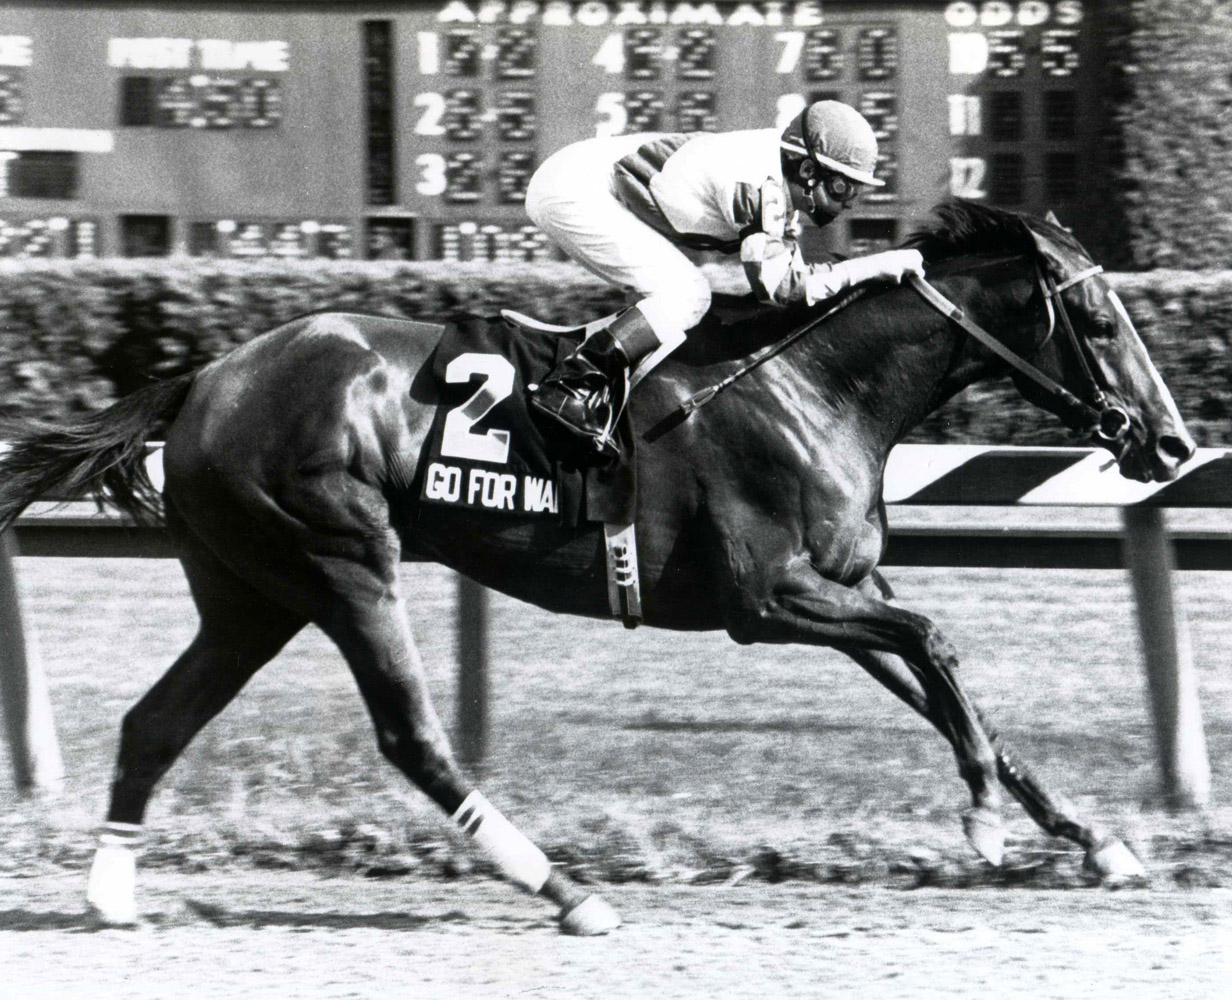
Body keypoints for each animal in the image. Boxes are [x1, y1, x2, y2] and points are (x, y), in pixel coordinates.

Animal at [0, 200, 1192, 931]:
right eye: (1094, 316)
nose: (1172, 445)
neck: (812, 383)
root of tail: (206, 380)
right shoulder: (768, 598)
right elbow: (940, 647)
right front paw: (985, 818)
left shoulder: (845, 589)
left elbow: (946, 686)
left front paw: (1091, 840)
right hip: (340, 560)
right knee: (413, 737)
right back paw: (564, 890)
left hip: (251, 591)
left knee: (157, 720)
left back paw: (110, 891)